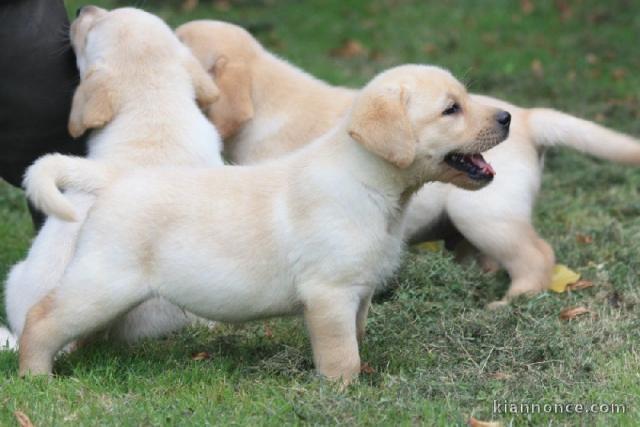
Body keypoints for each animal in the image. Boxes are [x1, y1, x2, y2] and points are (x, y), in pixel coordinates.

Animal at [18, 63, 510, 378]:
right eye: (451, 109)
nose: (507, 115)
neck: (370, 183)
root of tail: (113, 177)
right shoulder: (330, 293)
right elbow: (340, 355)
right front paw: (345, 390)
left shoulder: (359, 292)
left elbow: (356, 337)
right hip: (103, 281)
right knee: (42, 318)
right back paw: (36, 375)